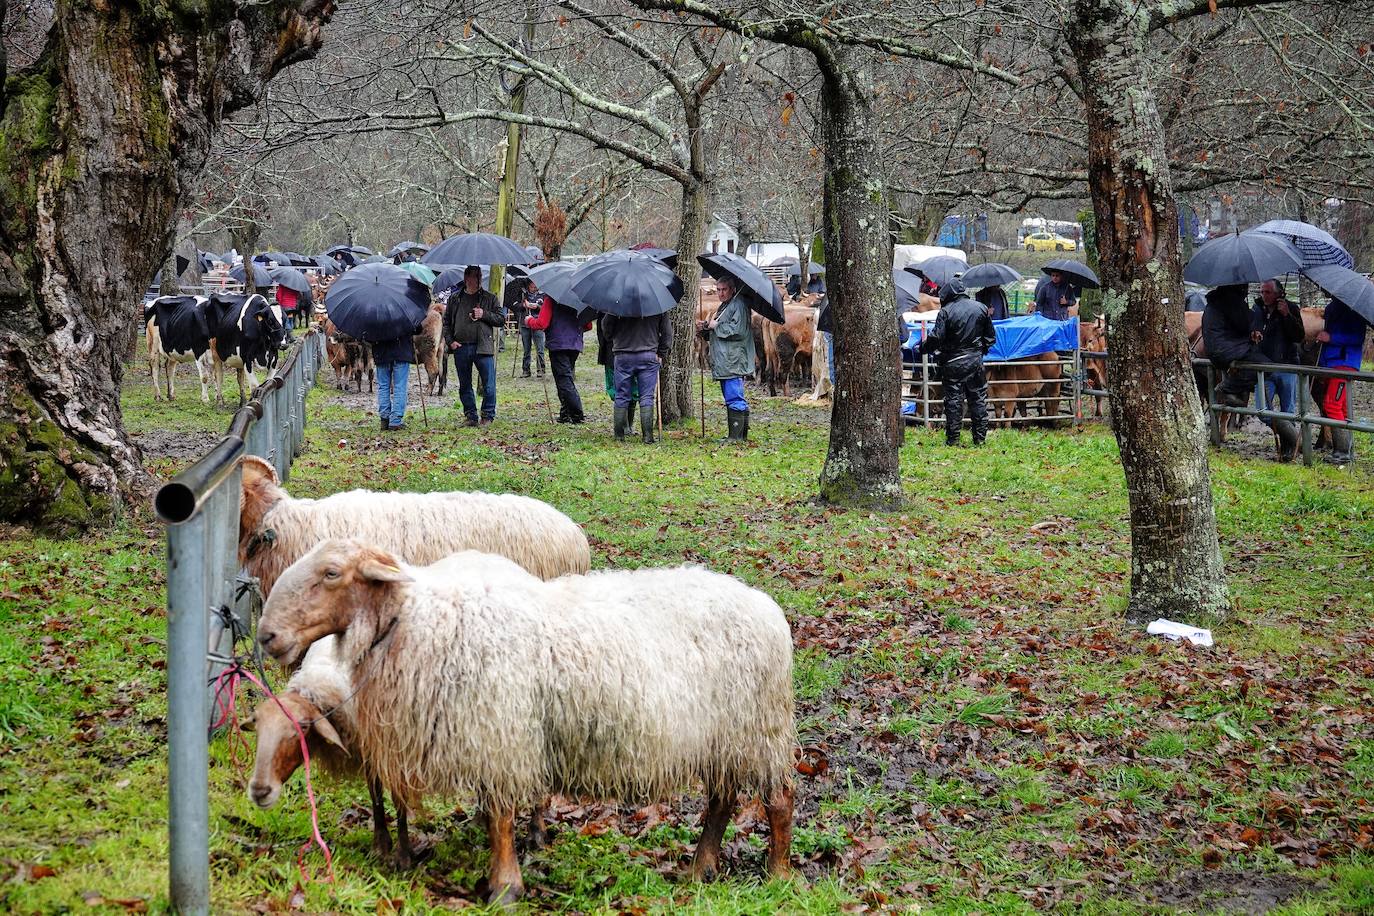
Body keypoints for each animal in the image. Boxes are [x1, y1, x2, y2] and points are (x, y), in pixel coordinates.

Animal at [247, 637, 417, 867]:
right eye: (258, 728)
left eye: (303, 727)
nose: (259, 790)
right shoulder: (366, 746)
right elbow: (375, 791)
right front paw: (380, 845)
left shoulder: (395, 744)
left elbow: (399, 798)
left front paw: (403, 855)